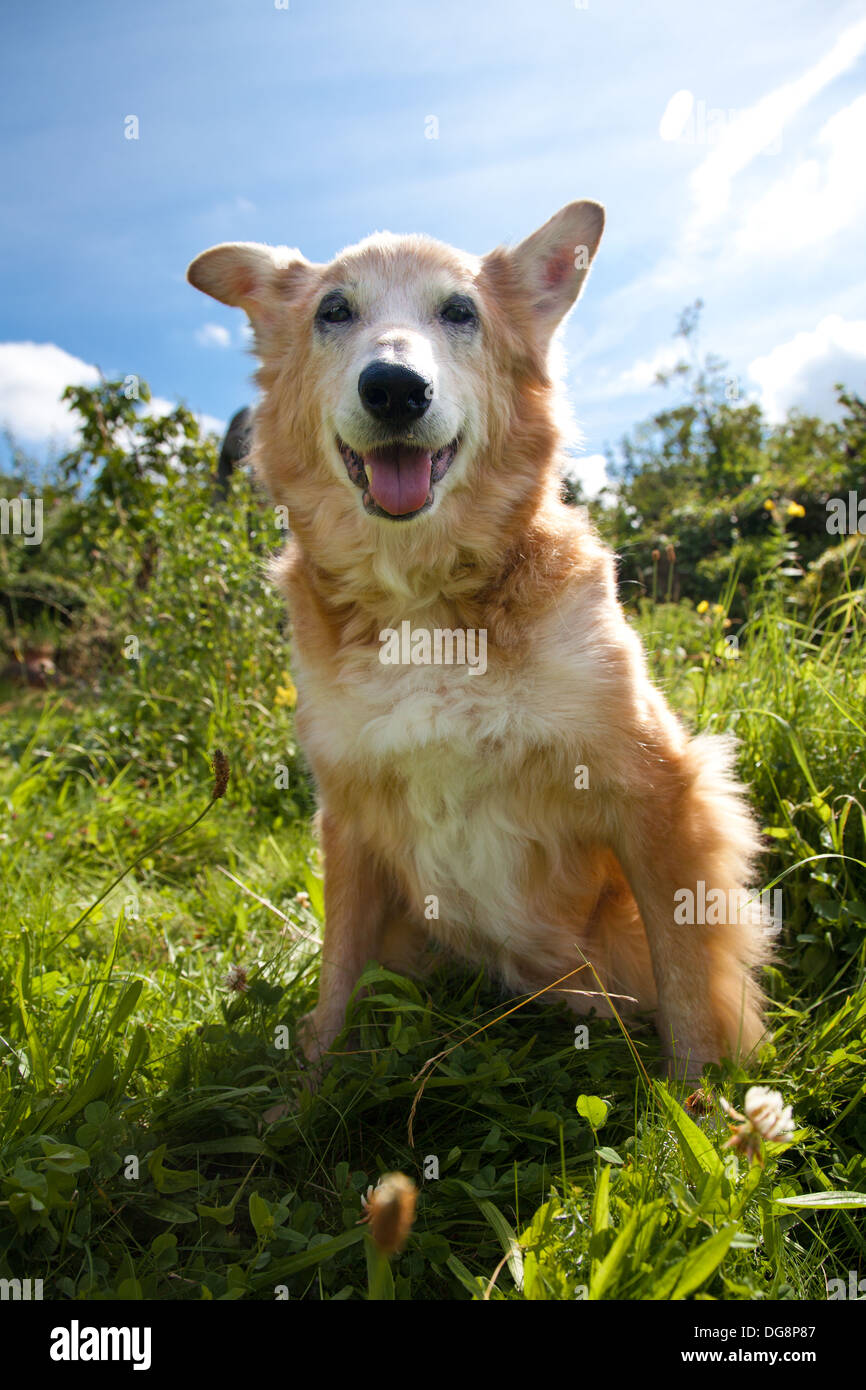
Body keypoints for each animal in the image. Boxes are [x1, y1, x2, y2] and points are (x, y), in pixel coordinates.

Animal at [191, 201, 772, 1078]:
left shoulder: (659, 788)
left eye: (460, 312)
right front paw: (306, 1092)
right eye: (334, 311)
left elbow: (687, 984)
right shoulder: (347, 817)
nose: (395, 388)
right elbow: (334, 984)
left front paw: (694, 1101)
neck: (424, 603)